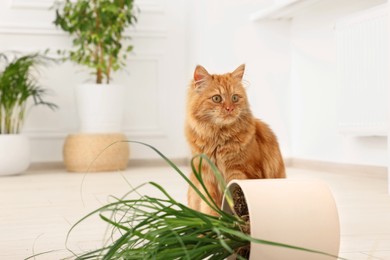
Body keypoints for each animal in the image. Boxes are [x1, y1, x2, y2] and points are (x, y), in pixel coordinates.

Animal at [184, 64, 284, 215]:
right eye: (217, 98)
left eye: (235, 98)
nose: (229, 108)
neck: (219, 139)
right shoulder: (208, 178)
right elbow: (210, 207)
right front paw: (214, 220)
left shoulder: (240, 172)